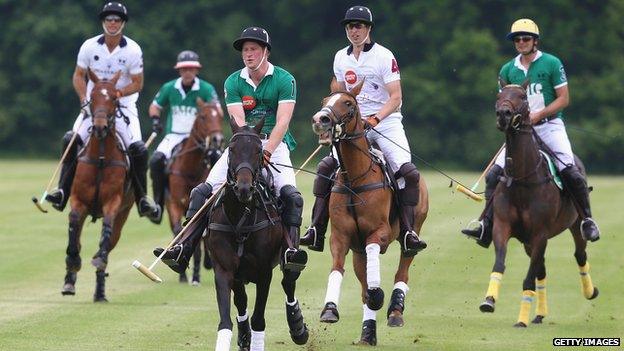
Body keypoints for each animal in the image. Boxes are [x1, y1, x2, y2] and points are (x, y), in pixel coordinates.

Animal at [61, 70, 133, 304]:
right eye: (92, 98)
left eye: (114, 98)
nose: (100, 127)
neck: (101, 157)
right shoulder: (78, 201)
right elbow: (73, 228)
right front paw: (73, 262)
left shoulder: (114, 203)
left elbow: (106, 232)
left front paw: (98, 258)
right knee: (78, 237)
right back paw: (69, 281)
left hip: (125, 213)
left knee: (110, 242)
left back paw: (100, 291)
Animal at [166, 97, 224, 284]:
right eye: (203, 117)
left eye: (220, 116)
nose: (217, 139)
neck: (189, 169)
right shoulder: (174, 203)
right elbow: (179, 230)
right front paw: (183, 272)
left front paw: (196, 274)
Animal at [208, 119, 308, 351]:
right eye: (231, 149)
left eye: (259, 151)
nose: (244, 188)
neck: (240, 218)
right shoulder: (224, 270)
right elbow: (226, 320)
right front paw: (242, 336)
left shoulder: (264, 273)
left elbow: (258, 320)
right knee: (242, 301)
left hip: (289, 255)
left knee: (289, 281)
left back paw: (298, 327)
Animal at [312, 83, 428, 346]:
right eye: (325, 100)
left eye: (348, 103)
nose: (321, 120)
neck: (354, 179)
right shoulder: (342, 237)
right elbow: (337, 268)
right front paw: (330, 309)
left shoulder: (379, 232)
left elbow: (375, 251)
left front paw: (378, 295)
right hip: (357, 253)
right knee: (363, 284)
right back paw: (368, 333)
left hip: (412, 232)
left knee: (403, 269)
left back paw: (395, 311)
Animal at [482, 82, 600, 328]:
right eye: (499, 95)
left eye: (522, 96)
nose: (503, 114)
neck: (522, 178)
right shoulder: (503, 228)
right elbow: (500, 264)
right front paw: (489, 300)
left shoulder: (540, 233)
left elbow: (528, 279)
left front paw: (521, 320)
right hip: (528, 242)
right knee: (542, 269)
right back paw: (539, 314)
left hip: (574, 226)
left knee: (579, 255)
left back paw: (590, 291)